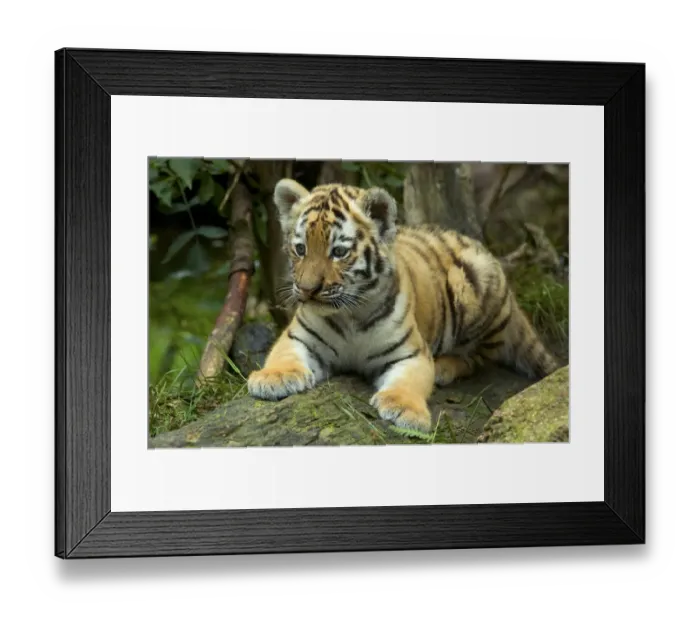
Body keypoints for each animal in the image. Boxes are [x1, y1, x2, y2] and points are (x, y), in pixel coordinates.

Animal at [246, 178, 561, 433]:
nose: (308, 290)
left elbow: (411, 381)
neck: (350, 315)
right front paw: (273, 378)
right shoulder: (299, 337)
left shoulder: (410, 353)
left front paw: (405, 410)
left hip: (476, 284)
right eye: (300, 249)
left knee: (482, 358)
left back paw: (444, 367)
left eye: (338, 252)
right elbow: (283, 355)